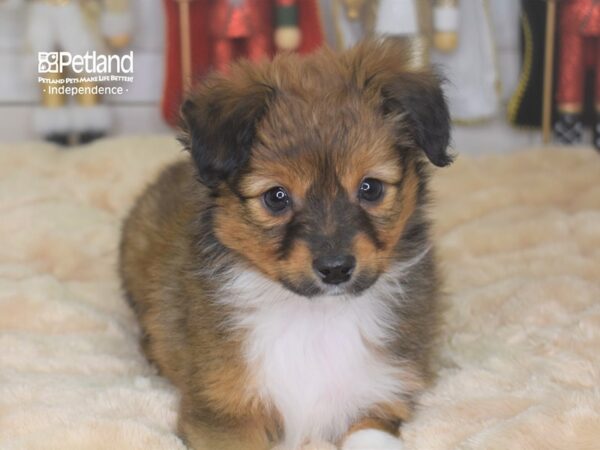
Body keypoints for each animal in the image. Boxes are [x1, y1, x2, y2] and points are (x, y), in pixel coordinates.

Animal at [119, 39, 452, 450]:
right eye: (276, 197)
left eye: (371, 188)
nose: (336, 269)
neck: (314, 318)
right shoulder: (225, 413)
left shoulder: (379, 397)